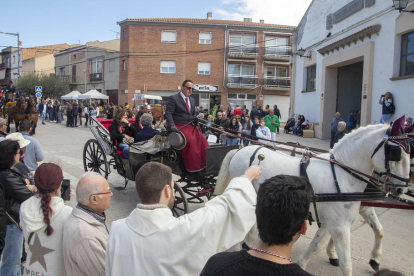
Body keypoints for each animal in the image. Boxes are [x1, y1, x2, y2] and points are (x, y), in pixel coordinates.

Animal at [215, 124, 410, 274]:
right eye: (396, 152)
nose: (402, 188)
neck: (341, 175)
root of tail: (241, 149)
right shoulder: (339, 226)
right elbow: (347, 265)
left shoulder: (331, 222)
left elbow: (317, 244)